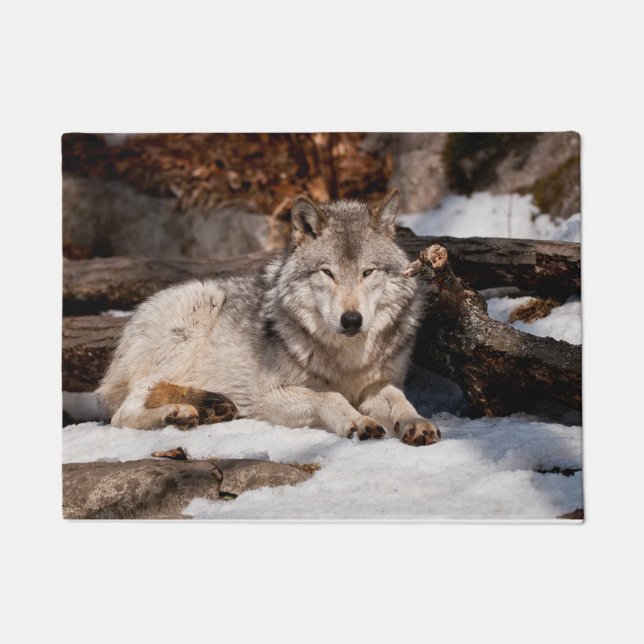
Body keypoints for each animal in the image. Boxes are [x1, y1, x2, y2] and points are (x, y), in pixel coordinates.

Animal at [97, 188, 441, 446]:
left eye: (367, 272)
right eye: (327, 273)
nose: (352, 320)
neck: (348, 359)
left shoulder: (378, 384)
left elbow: (400, 401)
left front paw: (417, 422)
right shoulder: (270, 396)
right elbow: (330, 397)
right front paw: (357, 421)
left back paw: (211, 408)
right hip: (200, 305)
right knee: (122, 413)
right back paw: (178, 413)